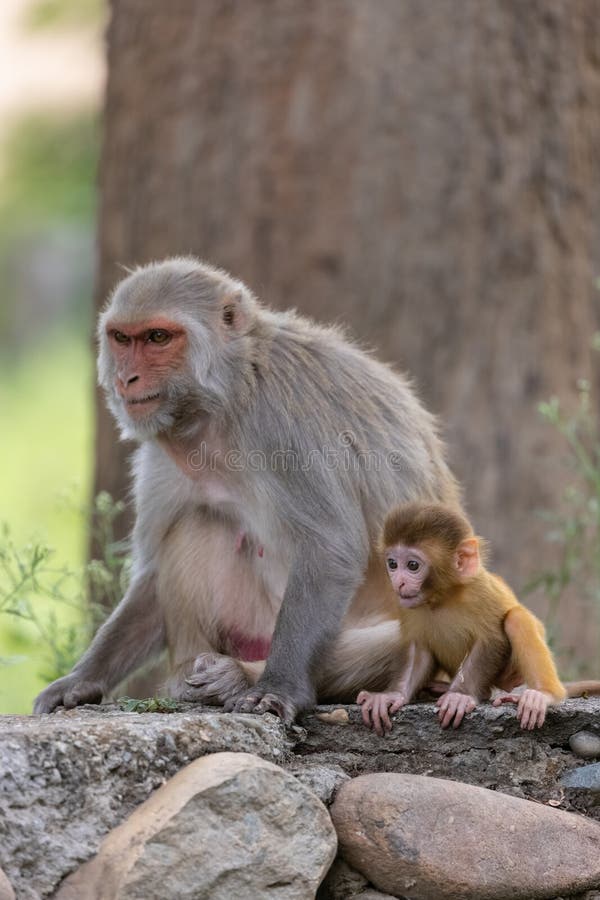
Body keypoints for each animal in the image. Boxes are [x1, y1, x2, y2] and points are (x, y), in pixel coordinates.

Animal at [33, 257, 460, 724]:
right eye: (122, 338)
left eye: (158, 337)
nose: (126, 378)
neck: (222, 401)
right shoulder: (161, 455)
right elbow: (150, 576)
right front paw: (82, 679)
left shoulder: (280, 423)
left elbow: (330, 547)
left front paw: (277, 687)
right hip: (250, 626)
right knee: (198, 521)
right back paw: (192, 677)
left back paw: (239, 675)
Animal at [357, 503, 600, 734]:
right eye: (392, 564)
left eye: (413, 565)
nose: (398, 582)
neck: (443, 597)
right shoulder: (407, 606)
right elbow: (419, 649)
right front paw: (392, 696)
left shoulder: (480, 593)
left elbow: (491, 640)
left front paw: (460, 696)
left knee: (516, 619)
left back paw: (543, 694)